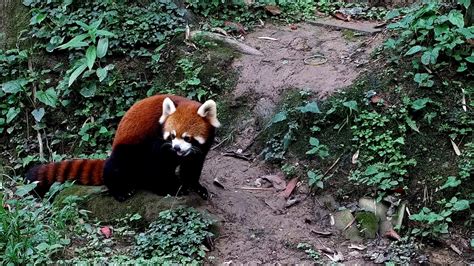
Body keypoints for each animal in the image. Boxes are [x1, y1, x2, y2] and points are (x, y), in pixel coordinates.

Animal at [28, 94, 221, 201]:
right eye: (172, 136)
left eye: (187, 138)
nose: (177, 148)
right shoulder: (157, 141)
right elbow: (157, 166)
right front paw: (169, 188)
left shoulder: (200, 149)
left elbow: (192, 167)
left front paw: (196, 187)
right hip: (127, 150)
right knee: (118, 166)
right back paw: (121, 190)